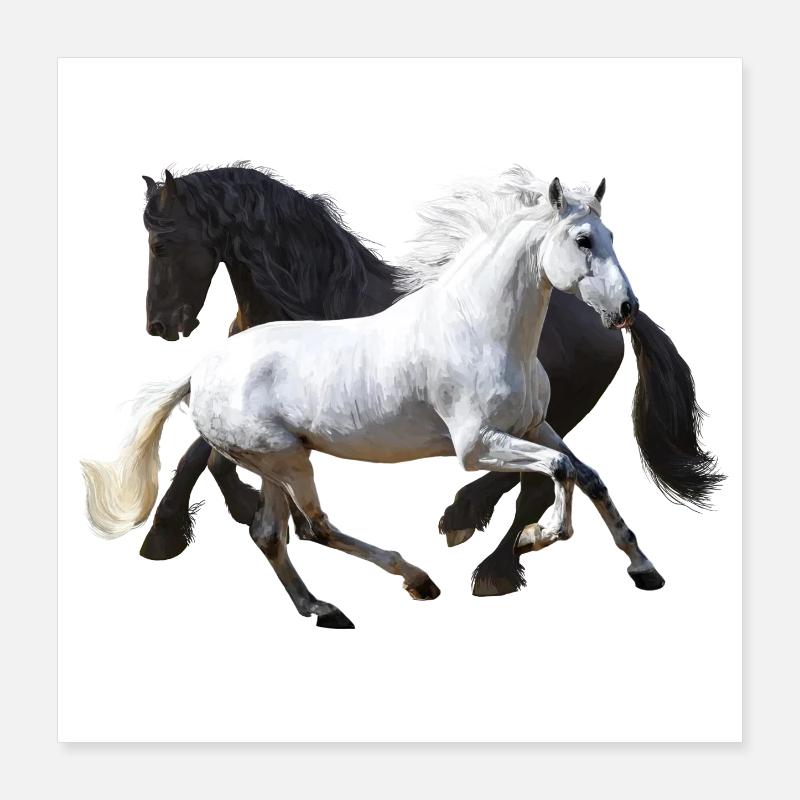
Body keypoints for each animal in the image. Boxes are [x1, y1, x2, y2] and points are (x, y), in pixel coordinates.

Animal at [81, 170, 723, 628]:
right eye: (584, 239)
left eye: (612, 237)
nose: (625, 309)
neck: (481, 327)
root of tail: (199, 372)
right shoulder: (476, 446)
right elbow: (562, 474)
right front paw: (538, 540)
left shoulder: (535, 426)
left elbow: (587, 476)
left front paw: (644, 568)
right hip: (285, 458)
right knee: (308, 527)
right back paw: (417, 579)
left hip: (277, 461)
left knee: (273, 532)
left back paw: (328, 607)